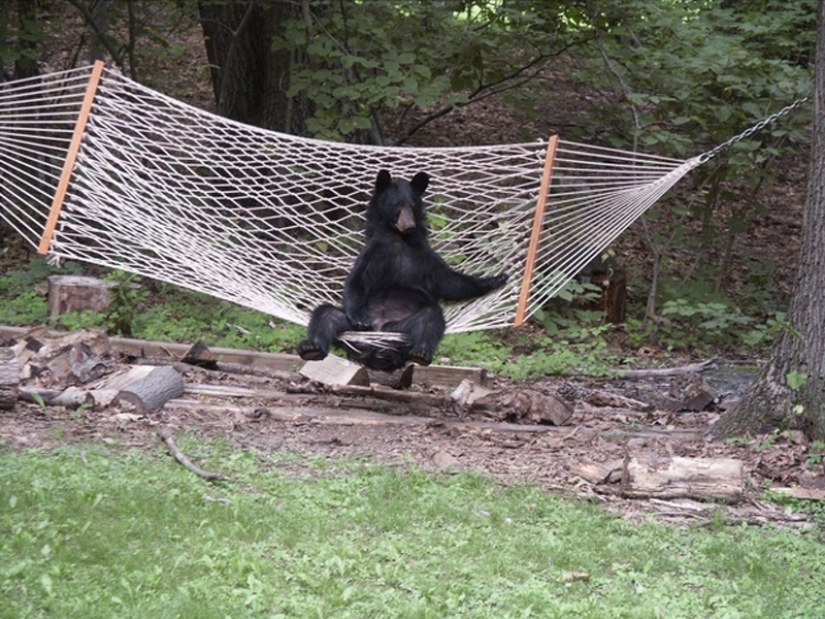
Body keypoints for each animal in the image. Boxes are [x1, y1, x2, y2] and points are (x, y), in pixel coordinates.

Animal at [296, 170, 508, 372]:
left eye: (412, 205)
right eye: (397, 205)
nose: (409, 226)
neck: (400, 240)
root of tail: (376, 347)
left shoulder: (422, 253)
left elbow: (448, 281)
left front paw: (495, 279)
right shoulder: (377, 250)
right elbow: (357, 280)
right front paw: (359, 315)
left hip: (400, 330)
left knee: (430, 317)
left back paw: (421, 352)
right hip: (353, 331)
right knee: (326, 314)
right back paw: (311, 348)